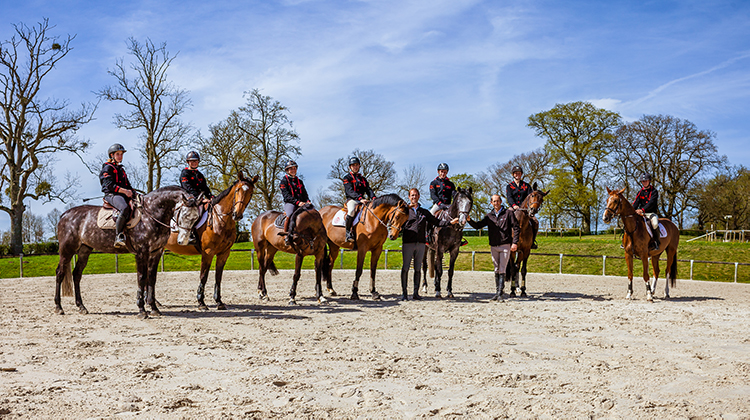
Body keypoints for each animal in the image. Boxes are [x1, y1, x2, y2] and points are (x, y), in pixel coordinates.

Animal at [55, 187, 203, 318]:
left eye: (196, 217)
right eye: (184, 215)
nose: (184, 240)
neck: (151, 214)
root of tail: (65, 215)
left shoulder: (156, 253)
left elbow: (152, 279)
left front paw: (154, 308)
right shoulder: (142, 252)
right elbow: (142, 278)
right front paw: (142, 310)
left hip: (84, 251)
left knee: (76, 275)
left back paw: (81, 306)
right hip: (67, 250)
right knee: (60, 273)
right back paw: (59, 307)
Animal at [164, 171, 258, 312]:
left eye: (251, 193)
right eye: (238, 190)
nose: (237, 215)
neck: (220, 218)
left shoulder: (224, 253)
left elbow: (218, 276)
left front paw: (219, 301)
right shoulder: (208, 252)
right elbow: (204, 276)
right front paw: (201, 302)